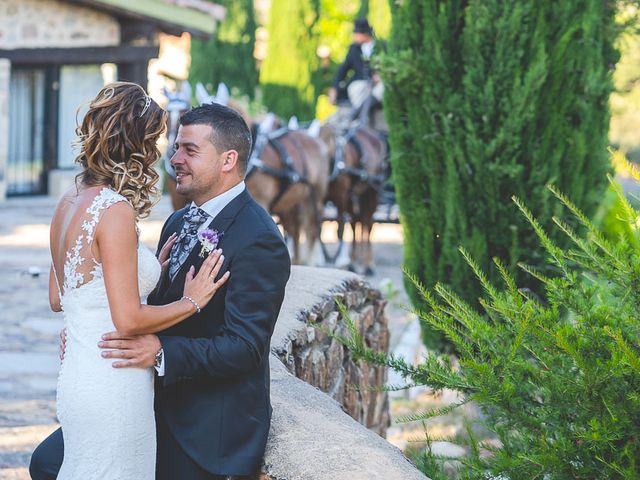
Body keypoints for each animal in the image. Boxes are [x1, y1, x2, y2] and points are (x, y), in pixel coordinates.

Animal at [318, 122, 384, 276]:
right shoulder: (322, 200)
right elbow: (319, 227)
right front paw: (326, 258)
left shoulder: (341, 197)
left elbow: (340, 228)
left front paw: (338, 260)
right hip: (354, 196)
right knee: (355, 223)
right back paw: (354, 262)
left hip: (372, 193)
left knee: (368, 225)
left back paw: (368, 264)